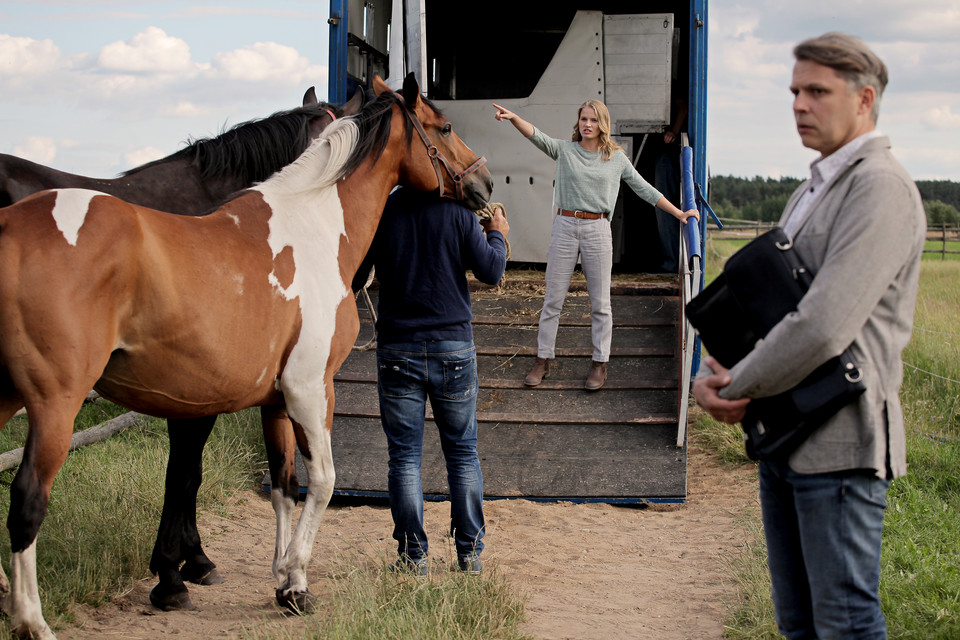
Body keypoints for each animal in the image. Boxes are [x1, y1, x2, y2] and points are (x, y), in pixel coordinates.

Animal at [0, 72, 492, 636]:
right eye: (446, 127)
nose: (485, 184)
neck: (312, 226)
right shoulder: (309, 390)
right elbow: (321, 481)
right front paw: (290, 578)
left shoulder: (274, 400)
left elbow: (283, 484)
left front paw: (282, 580)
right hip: (54, 404)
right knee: (27, 500)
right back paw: (32, 621)